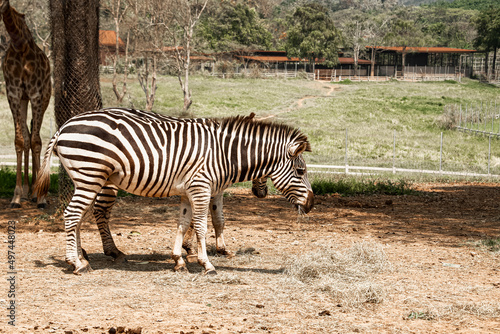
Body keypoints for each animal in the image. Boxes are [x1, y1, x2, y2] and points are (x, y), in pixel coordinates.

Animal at [35, 108, 312, 276]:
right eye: (300, 172)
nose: (311, 205)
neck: (224, 154)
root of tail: (64, 127)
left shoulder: (190, 191)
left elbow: (184, 223)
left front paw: (179, 259)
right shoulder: (202, 188)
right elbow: (202, 225)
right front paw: (206, 263)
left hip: (87, 179)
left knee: (79, 217)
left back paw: (82, 258)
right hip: (91, 176)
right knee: (74, 215)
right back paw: (77, 263)